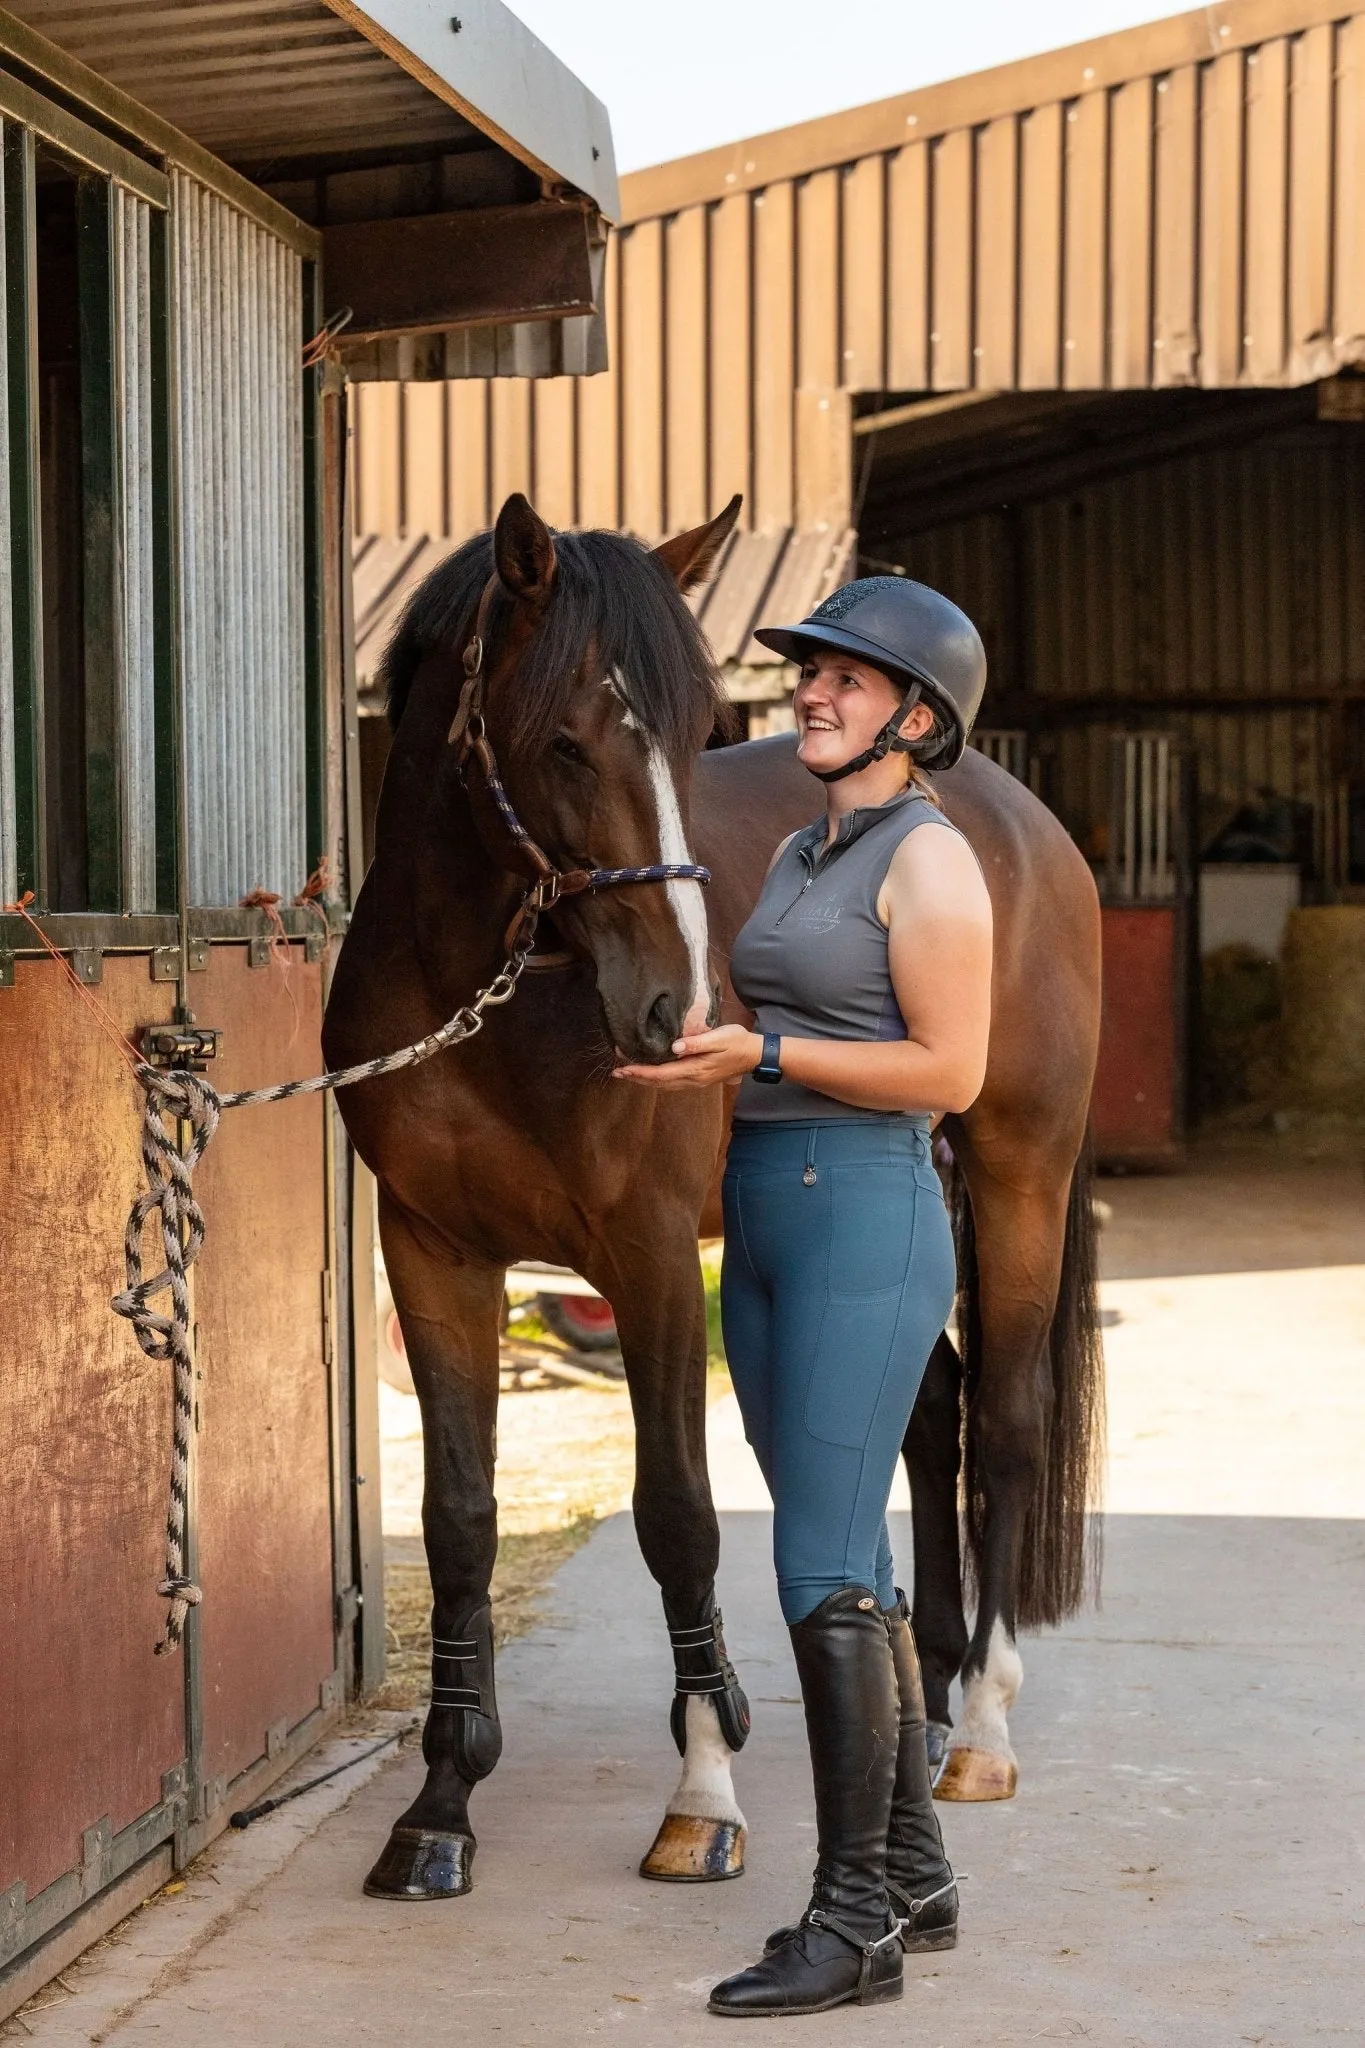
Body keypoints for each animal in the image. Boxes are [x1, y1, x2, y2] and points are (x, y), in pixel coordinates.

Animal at [325, 483, 1105, 1900]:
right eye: (562, 742)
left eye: (696, 737)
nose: (676, 1011)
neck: (491, 999)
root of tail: (1020, 820)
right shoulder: (431, 1254)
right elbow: (459, 1517)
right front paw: (440, 1806)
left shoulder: (645, 1259)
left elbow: (678, 1514)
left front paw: (703, 1789)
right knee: (933, 1413)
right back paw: (930, 1693)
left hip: (1018, 1167)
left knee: (1011, 1418)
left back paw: (982, 1724)